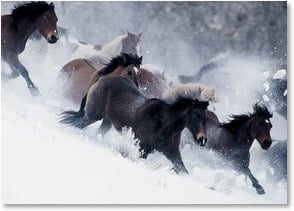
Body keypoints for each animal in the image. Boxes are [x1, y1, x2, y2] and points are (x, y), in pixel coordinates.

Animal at [59, 76, 216, 175]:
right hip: (92, 116)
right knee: (77, 124)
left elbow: (183, 170)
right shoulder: (142, 149)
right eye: (196, 115)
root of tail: (102, 79)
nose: (202, 140)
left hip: (107, 122)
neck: (165, 125)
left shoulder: (172, 153)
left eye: (206, 118)